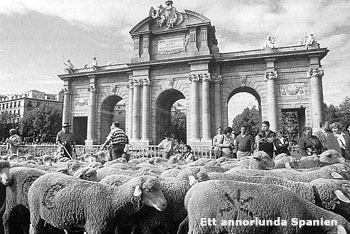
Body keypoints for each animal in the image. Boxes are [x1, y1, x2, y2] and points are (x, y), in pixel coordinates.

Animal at [27, 174, 167, 234]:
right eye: (148, 190)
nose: (164, 204)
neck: (112, 200)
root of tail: (38, 179)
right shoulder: (95, 226)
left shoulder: (107, 227)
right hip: (35, 214)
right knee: (33, 229)